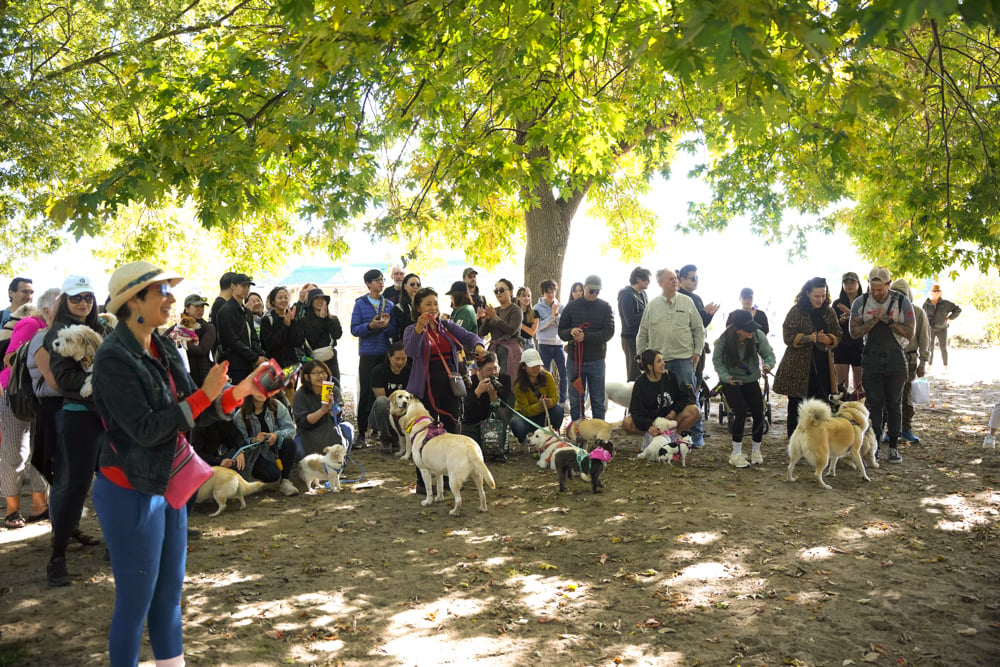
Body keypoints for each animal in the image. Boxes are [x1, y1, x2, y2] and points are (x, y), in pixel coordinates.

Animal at [386, 388, 496, 516]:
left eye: (408, 400)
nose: (414, 396)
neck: (422, 427)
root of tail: (470, 446)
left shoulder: (424, 470)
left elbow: (429, 489)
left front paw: (428, 501)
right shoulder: (438, 471)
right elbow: (440, 486)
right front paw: (439, 498)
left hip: (454, 480)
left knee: (459, 500)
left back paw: (454, 512)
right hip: (478, 475)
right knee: (482, 493)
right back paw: (482, 508)